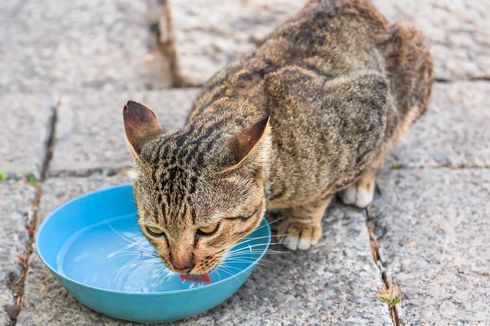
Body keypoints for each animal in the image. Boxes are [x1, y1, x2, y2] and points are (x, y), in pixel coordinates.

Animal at [122, 0, 432, 274]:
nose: (180, 266)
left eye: (208, 229)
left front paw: (303, 223)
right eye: (154, 230)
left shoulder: (368, 105)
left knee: (389, 138)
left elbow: (321, 193)